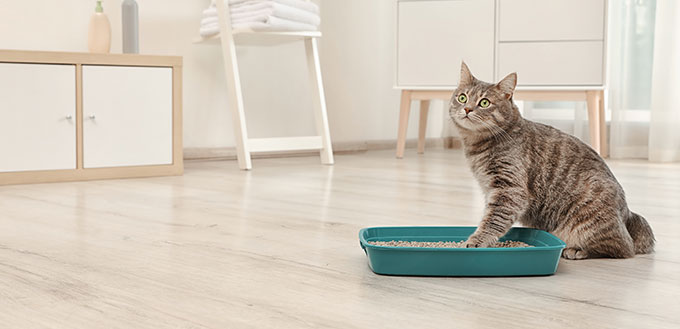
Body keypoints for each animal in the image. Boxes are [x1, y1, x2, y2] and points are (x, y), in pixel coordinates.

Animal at [452, 60, 652, 256]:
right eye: (462, 98)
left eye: (484, 102)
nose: (467, 109)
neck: (477, 145)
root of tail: (627, 214)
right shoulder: (491, 188)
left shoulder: (510, 189)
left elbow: (493, 220)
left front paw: (476, 241)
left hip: (589, 221)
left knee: (623, 247)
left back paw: (578, 250)